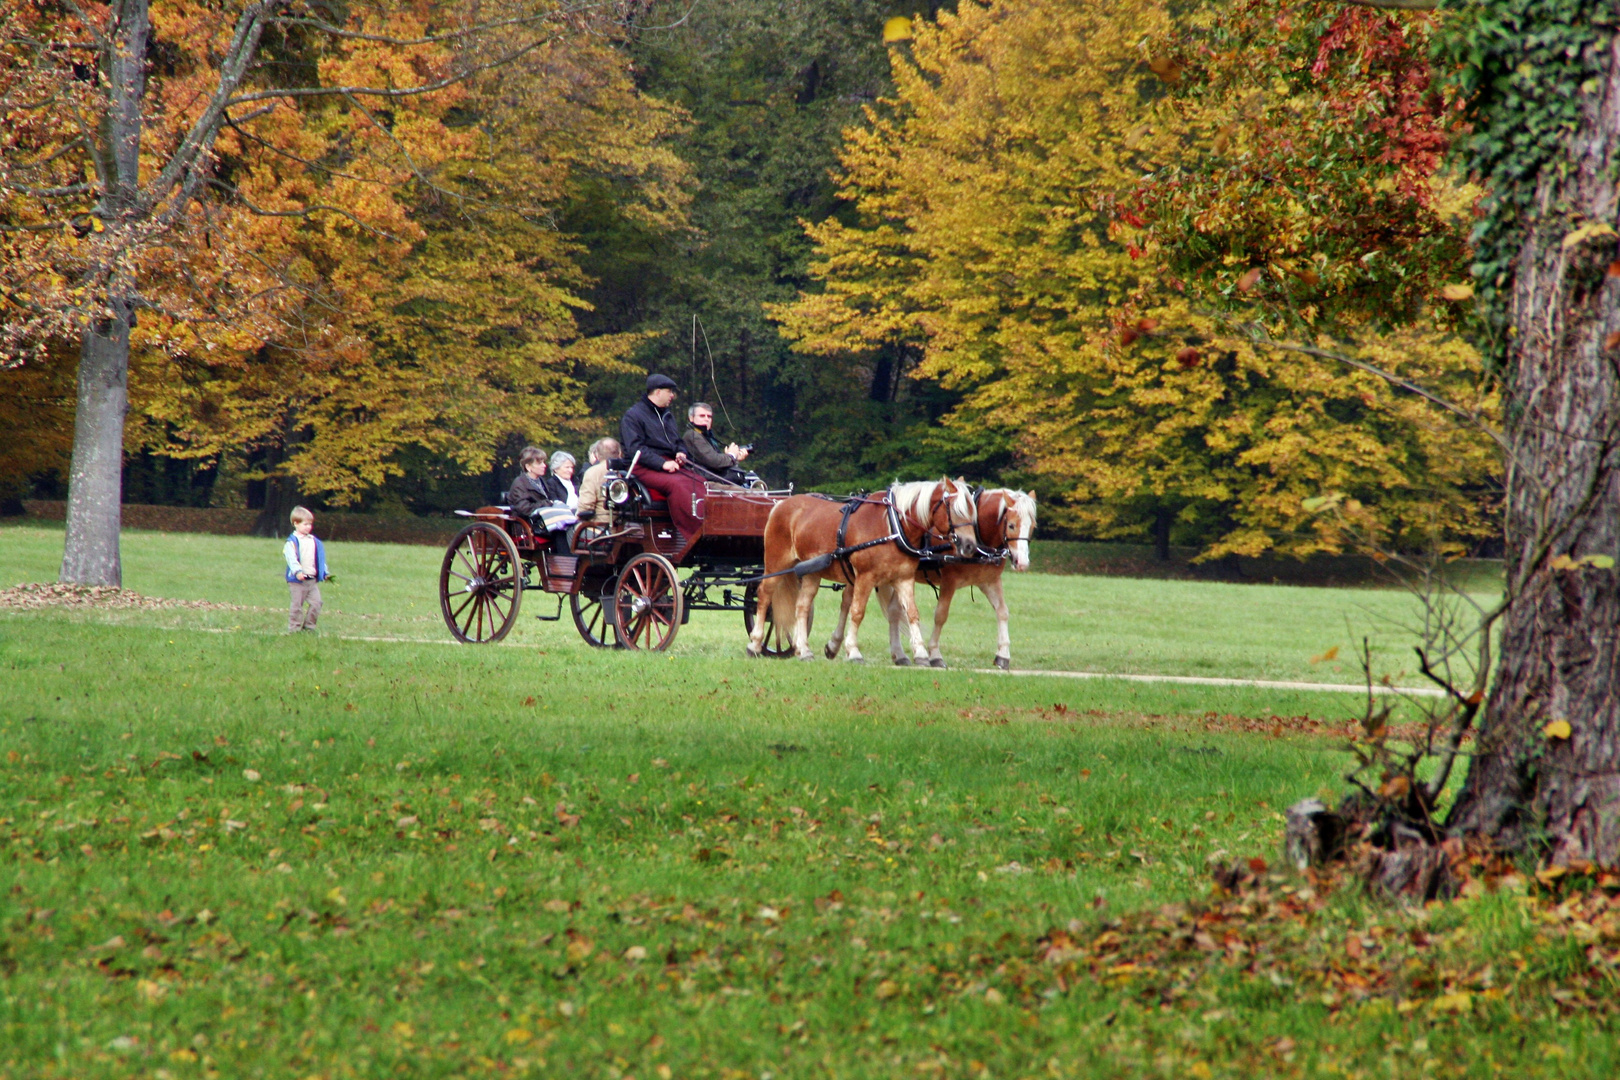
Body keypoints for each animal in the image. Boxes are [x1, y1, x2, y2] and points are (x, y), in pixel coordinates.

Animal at [745, 482, 972, 667]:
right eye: (955, 509)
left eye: (972, 510)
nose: (969, 545)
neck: (892, 526)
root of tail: (780, 505)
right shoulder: (865, 577)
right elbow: (857, 612)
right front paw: (853, 652)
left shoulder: (903, 578)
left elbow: (912, 613)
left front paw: (922, 654)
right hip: (776, 565)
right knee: (764, 596)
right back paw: (755, 644)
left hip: (811, 573)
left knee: (801, 606)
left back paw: (804, 650)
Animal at [822, 488, 1036, 667]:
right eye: (1011, 525)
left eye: (1032, 526)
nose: (1022, 563)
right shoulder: (949, 581)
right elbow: (941, 615)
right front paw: (934, 654)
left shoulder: (989, 581)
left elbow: (1002, 612)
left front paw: (1003, 655)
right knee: (847, 603)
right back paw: (835, 644)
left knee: (891, 611)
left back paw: (897, 654)